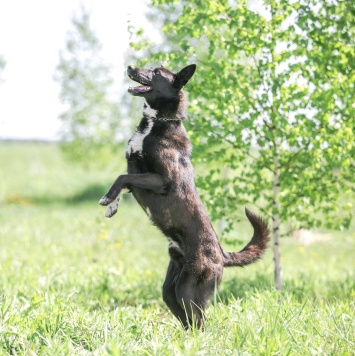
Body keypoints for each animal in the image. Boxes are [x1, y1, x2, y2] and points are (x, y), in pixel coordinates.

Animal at [99, 62, 270, 330]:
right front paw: (112, 206)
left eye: (156, 72)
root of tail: (222, 255)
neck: (158, 122)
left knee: (201, 322)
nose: (129, 66)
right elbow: (125, 180)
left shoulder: (162, 180)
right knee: (188, 319)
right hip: (172, 289)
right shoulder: (134, 167)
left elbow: (121, 178)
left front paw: (107, 199)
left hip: (188, 289)